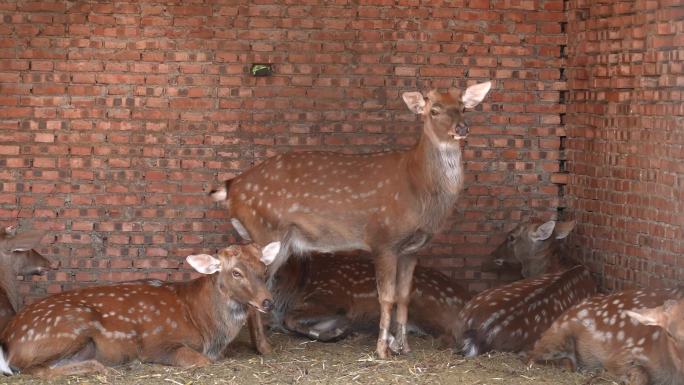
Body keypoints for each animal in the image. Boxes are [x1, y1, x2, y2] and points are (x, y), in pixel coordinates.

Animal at [0, 243, 278, 378]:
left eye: (264, 268)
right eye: (236, 272)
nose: (268, 302)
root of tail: (8, 340)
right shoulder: (158, 342)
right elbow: (200, 361)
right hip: (68, 326)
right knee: (33, 369)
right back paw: (102, 368)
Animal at [270, 250, 472, 346]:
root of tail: (467, 299)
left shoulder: (331, 298)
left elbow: (289, 319)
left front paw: (335, 333)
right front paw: (338, 332)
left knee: (449, 336)